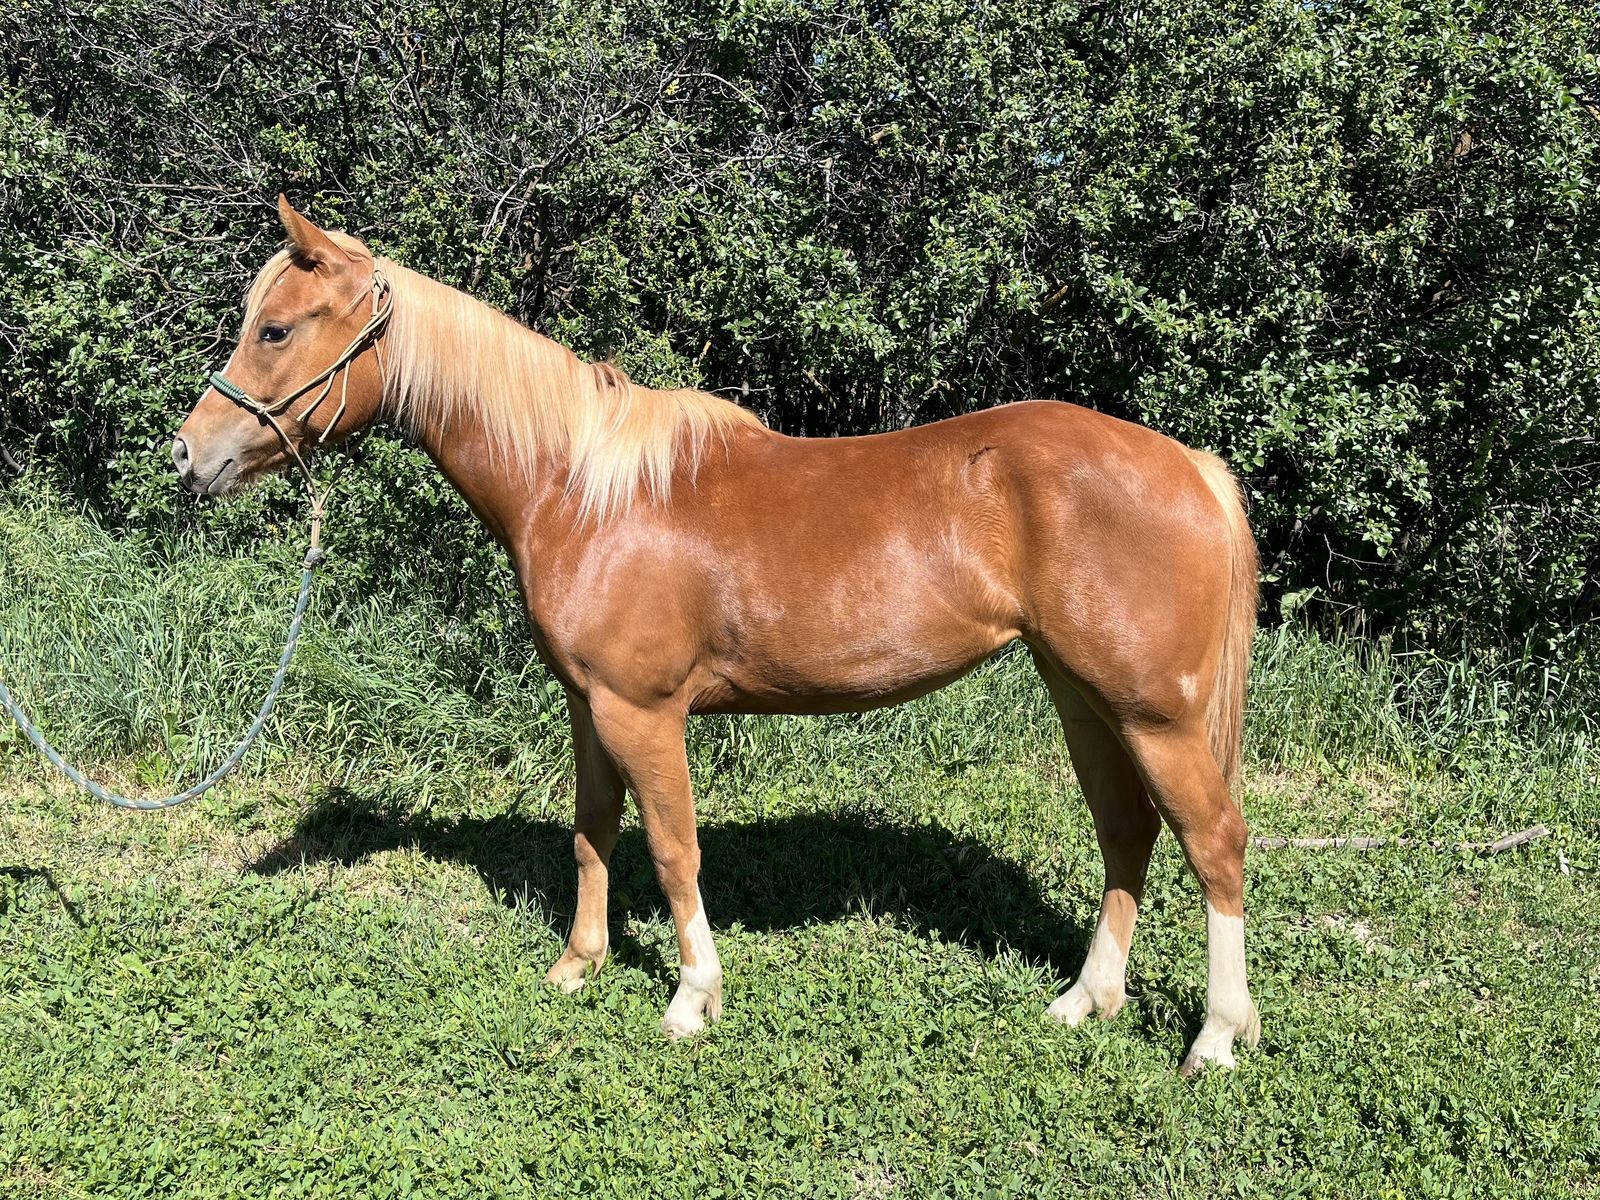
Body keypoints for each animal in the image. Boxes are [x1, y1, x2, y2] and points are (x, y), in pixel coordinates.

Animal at [173, 197, 1261, 1073]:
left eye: (275, 328)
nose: (189, 455)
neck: (582, 490)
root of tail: (1191, 466)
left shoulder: (644, 712)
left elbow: (673, 848)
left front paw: (691, 999)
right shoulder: (590, 709)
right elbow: (593, 833)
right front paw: (578, 965)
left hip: (1154, 714)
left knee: (1213, 842)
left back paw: (1214, 1038)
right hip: (1085, 699)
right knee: (1127, 834)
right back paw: (1086, 1000)